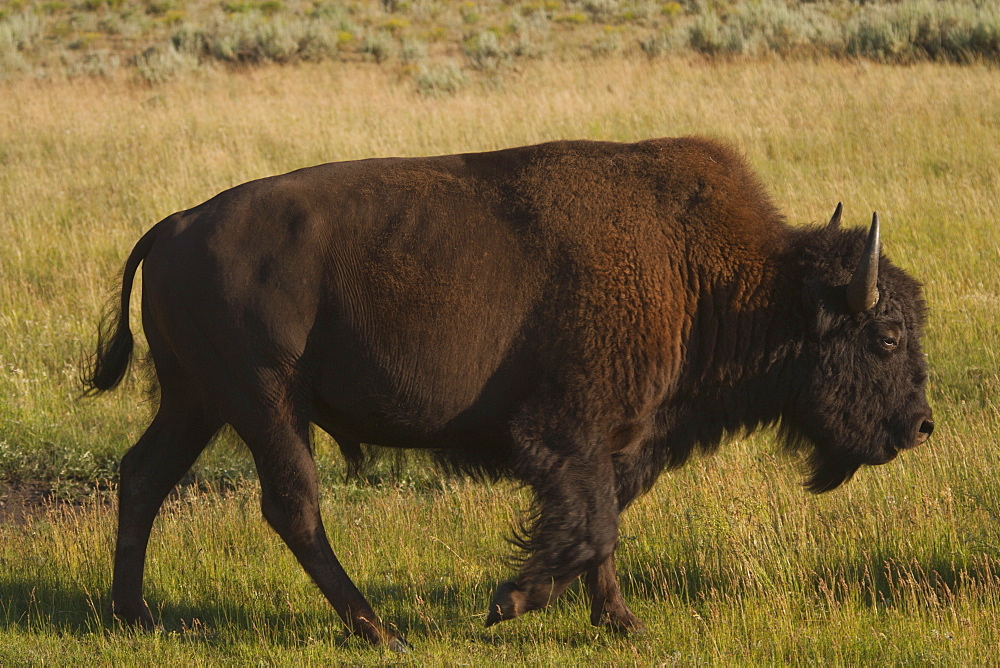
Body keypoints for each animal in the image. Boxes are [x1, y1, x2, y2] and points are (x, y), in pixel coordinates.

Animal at [86, 136, 928, 648]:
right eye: (886, 335)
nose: (919, 426)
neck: (712, 278)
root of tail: (175, 225)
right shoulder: (565, 433)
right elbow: (590, 527)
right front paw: (507, 603)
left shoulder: (616, 442)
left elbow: (604, 529)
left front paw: (620, 621)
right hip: (265, 402)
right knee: (292, 505)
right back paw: (379, 630)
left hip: (196, 402)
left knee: (144, 476)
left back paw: (136, 615)